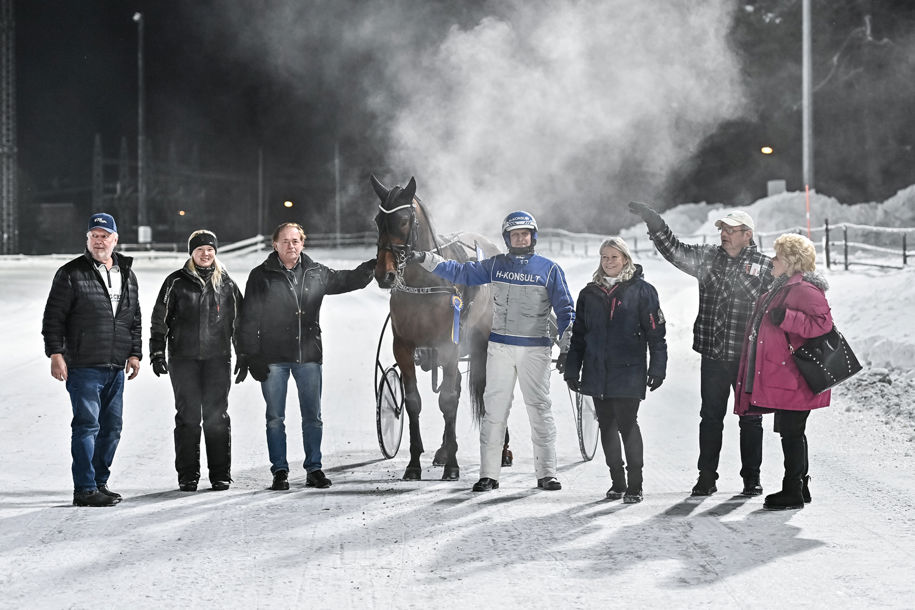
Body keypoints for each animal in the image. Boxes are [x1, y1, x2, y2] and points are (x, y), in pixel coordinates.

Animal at [371, 175, 501, 480]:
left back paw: (502, 451)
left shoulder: (449, 344)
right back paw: (443, 450)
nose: (384, 274)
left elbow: (449, 400)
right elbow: (414, 401)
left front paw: (453, 465)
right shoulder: (403, 346)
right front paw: (414, 463)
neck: (424, 282)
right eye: (377, 221)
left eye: (403, 220)